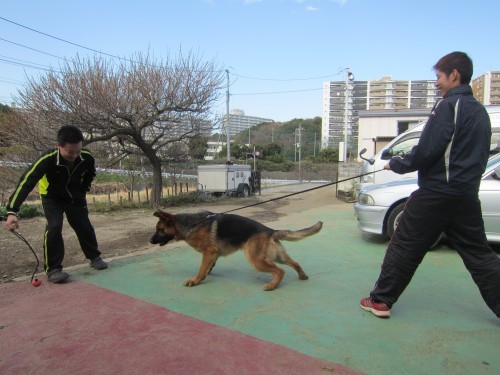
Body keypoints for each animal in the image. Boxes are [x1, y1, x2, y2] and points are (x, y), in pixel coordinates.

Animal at [150, 210, 322, 292]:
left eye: (160, 229)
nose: (150, 241)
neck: (192, 224)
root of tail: (270, 230)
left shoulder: (209, 251)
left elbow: (201, 269)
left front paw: (195, 281)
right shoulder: (213, 254)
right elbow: (207, 267)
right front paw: (204, 276)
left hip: (256, 261)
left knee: (280, 271)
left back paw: (272, 285)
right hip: (277, 256)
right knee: (294, 263)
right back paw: (302, 276)